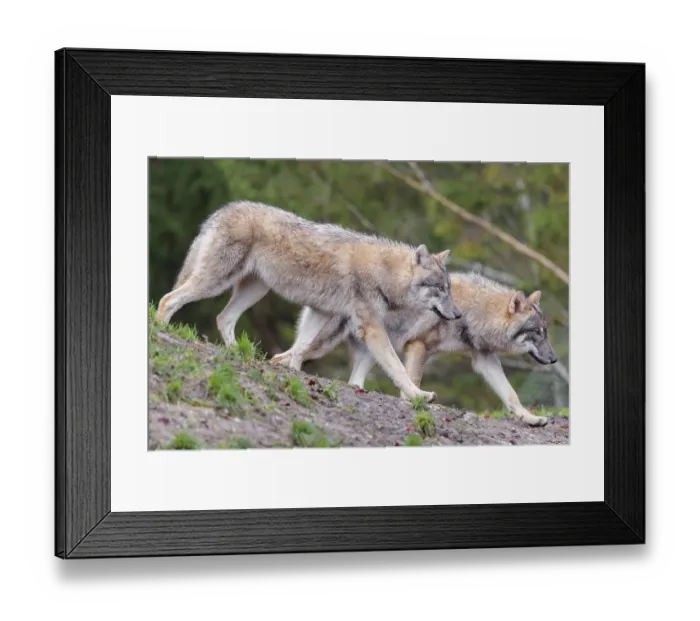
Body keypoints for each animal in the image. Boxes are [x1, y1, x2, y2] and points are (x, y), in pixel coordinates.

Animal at [156, 201, 462, 403]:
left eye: (449, 289)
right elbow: (397, 368)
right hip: (215, 283)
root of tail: (224, 210)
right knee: (168, 299)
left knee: (223, 318)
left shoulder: (320, 312)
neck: (384, 273)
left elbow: (298, 349)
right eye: (441, 289)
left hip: (254, 290)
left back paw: (241, 354)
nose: (458, 315)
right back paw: (161, 330)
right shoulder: (372, 329)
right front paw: (419, 395)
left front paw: (290, 370)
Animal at [272, 272, 559, 426]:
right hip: (325, 345)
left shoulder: (484, 360)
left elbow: (511, 395)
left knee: (354, 380)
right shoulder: (419, 346)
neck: (473, 312)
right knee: (282, 356)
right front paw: (418, 402)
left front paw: (530, 419)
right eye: (537, 334)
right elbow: (413, 381)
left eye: (546, 333)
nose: (554, 358)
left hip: (373, 352)